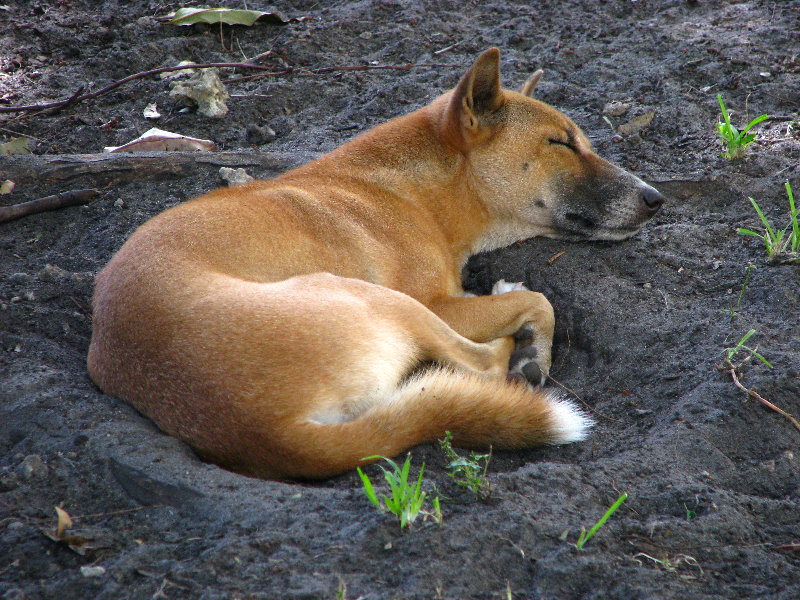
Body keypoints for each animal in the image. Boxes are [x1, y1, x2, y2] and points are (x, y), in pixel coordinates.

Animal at [87, 48, 664, 478]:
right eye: (560, 142)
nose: (655, 198)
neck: (414, 191)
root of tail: (267, 431)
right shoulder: (436, 302)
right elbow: (539, 302)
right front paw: (532, 349)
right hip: (380, 299)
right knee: (478, 364)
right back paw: (509, 351)